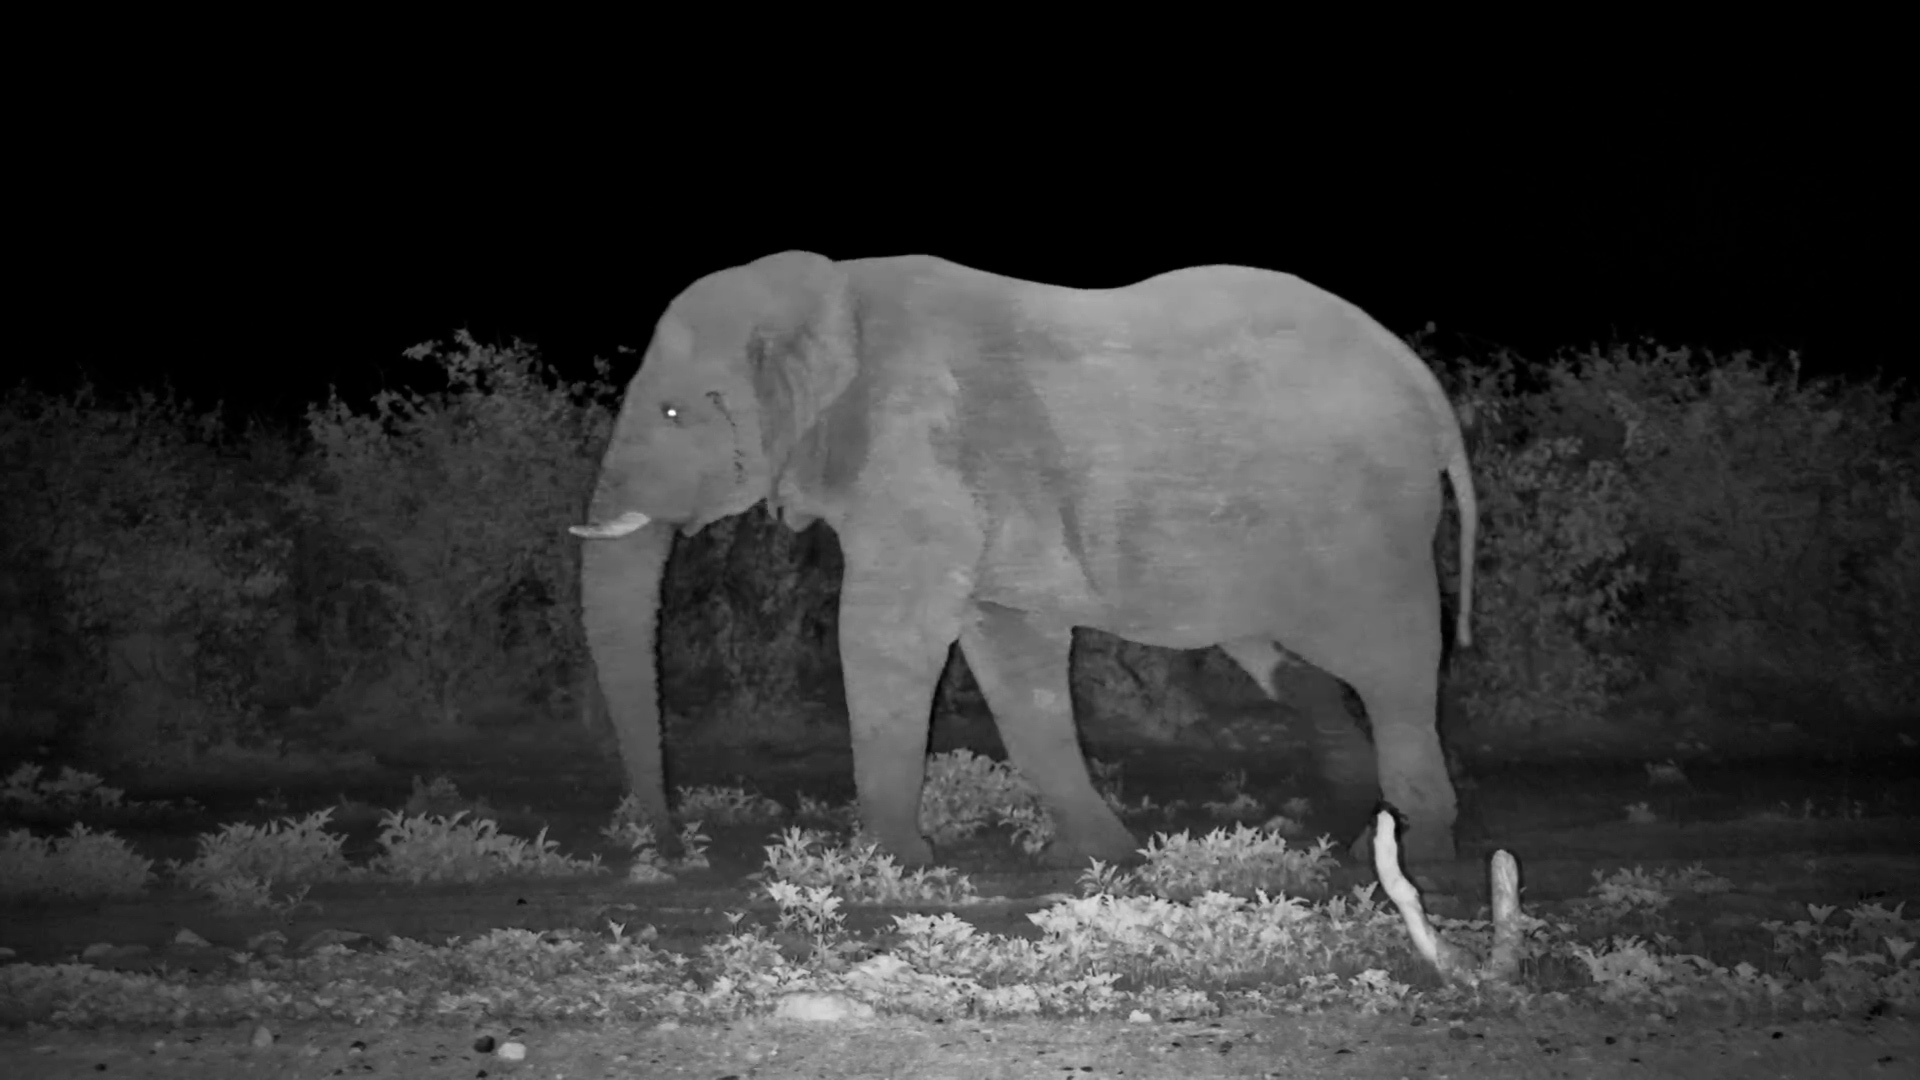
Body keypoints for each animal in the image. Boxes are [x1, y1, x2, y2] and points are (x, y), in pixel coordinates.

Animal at [572, 251, 1477, 865]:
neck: (826, 294)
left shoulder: (917, 448)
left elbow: (887, 636)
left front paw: (895, 864)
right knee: (1290, 661)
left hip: (1365, 523)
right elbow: (1011, 654)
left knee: (1393, 665)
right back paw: (1360, 827)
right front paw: (1096, 858)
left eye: (673, 411)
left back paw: (1413, 854)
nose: (676, 847)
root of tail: (1429, 394)